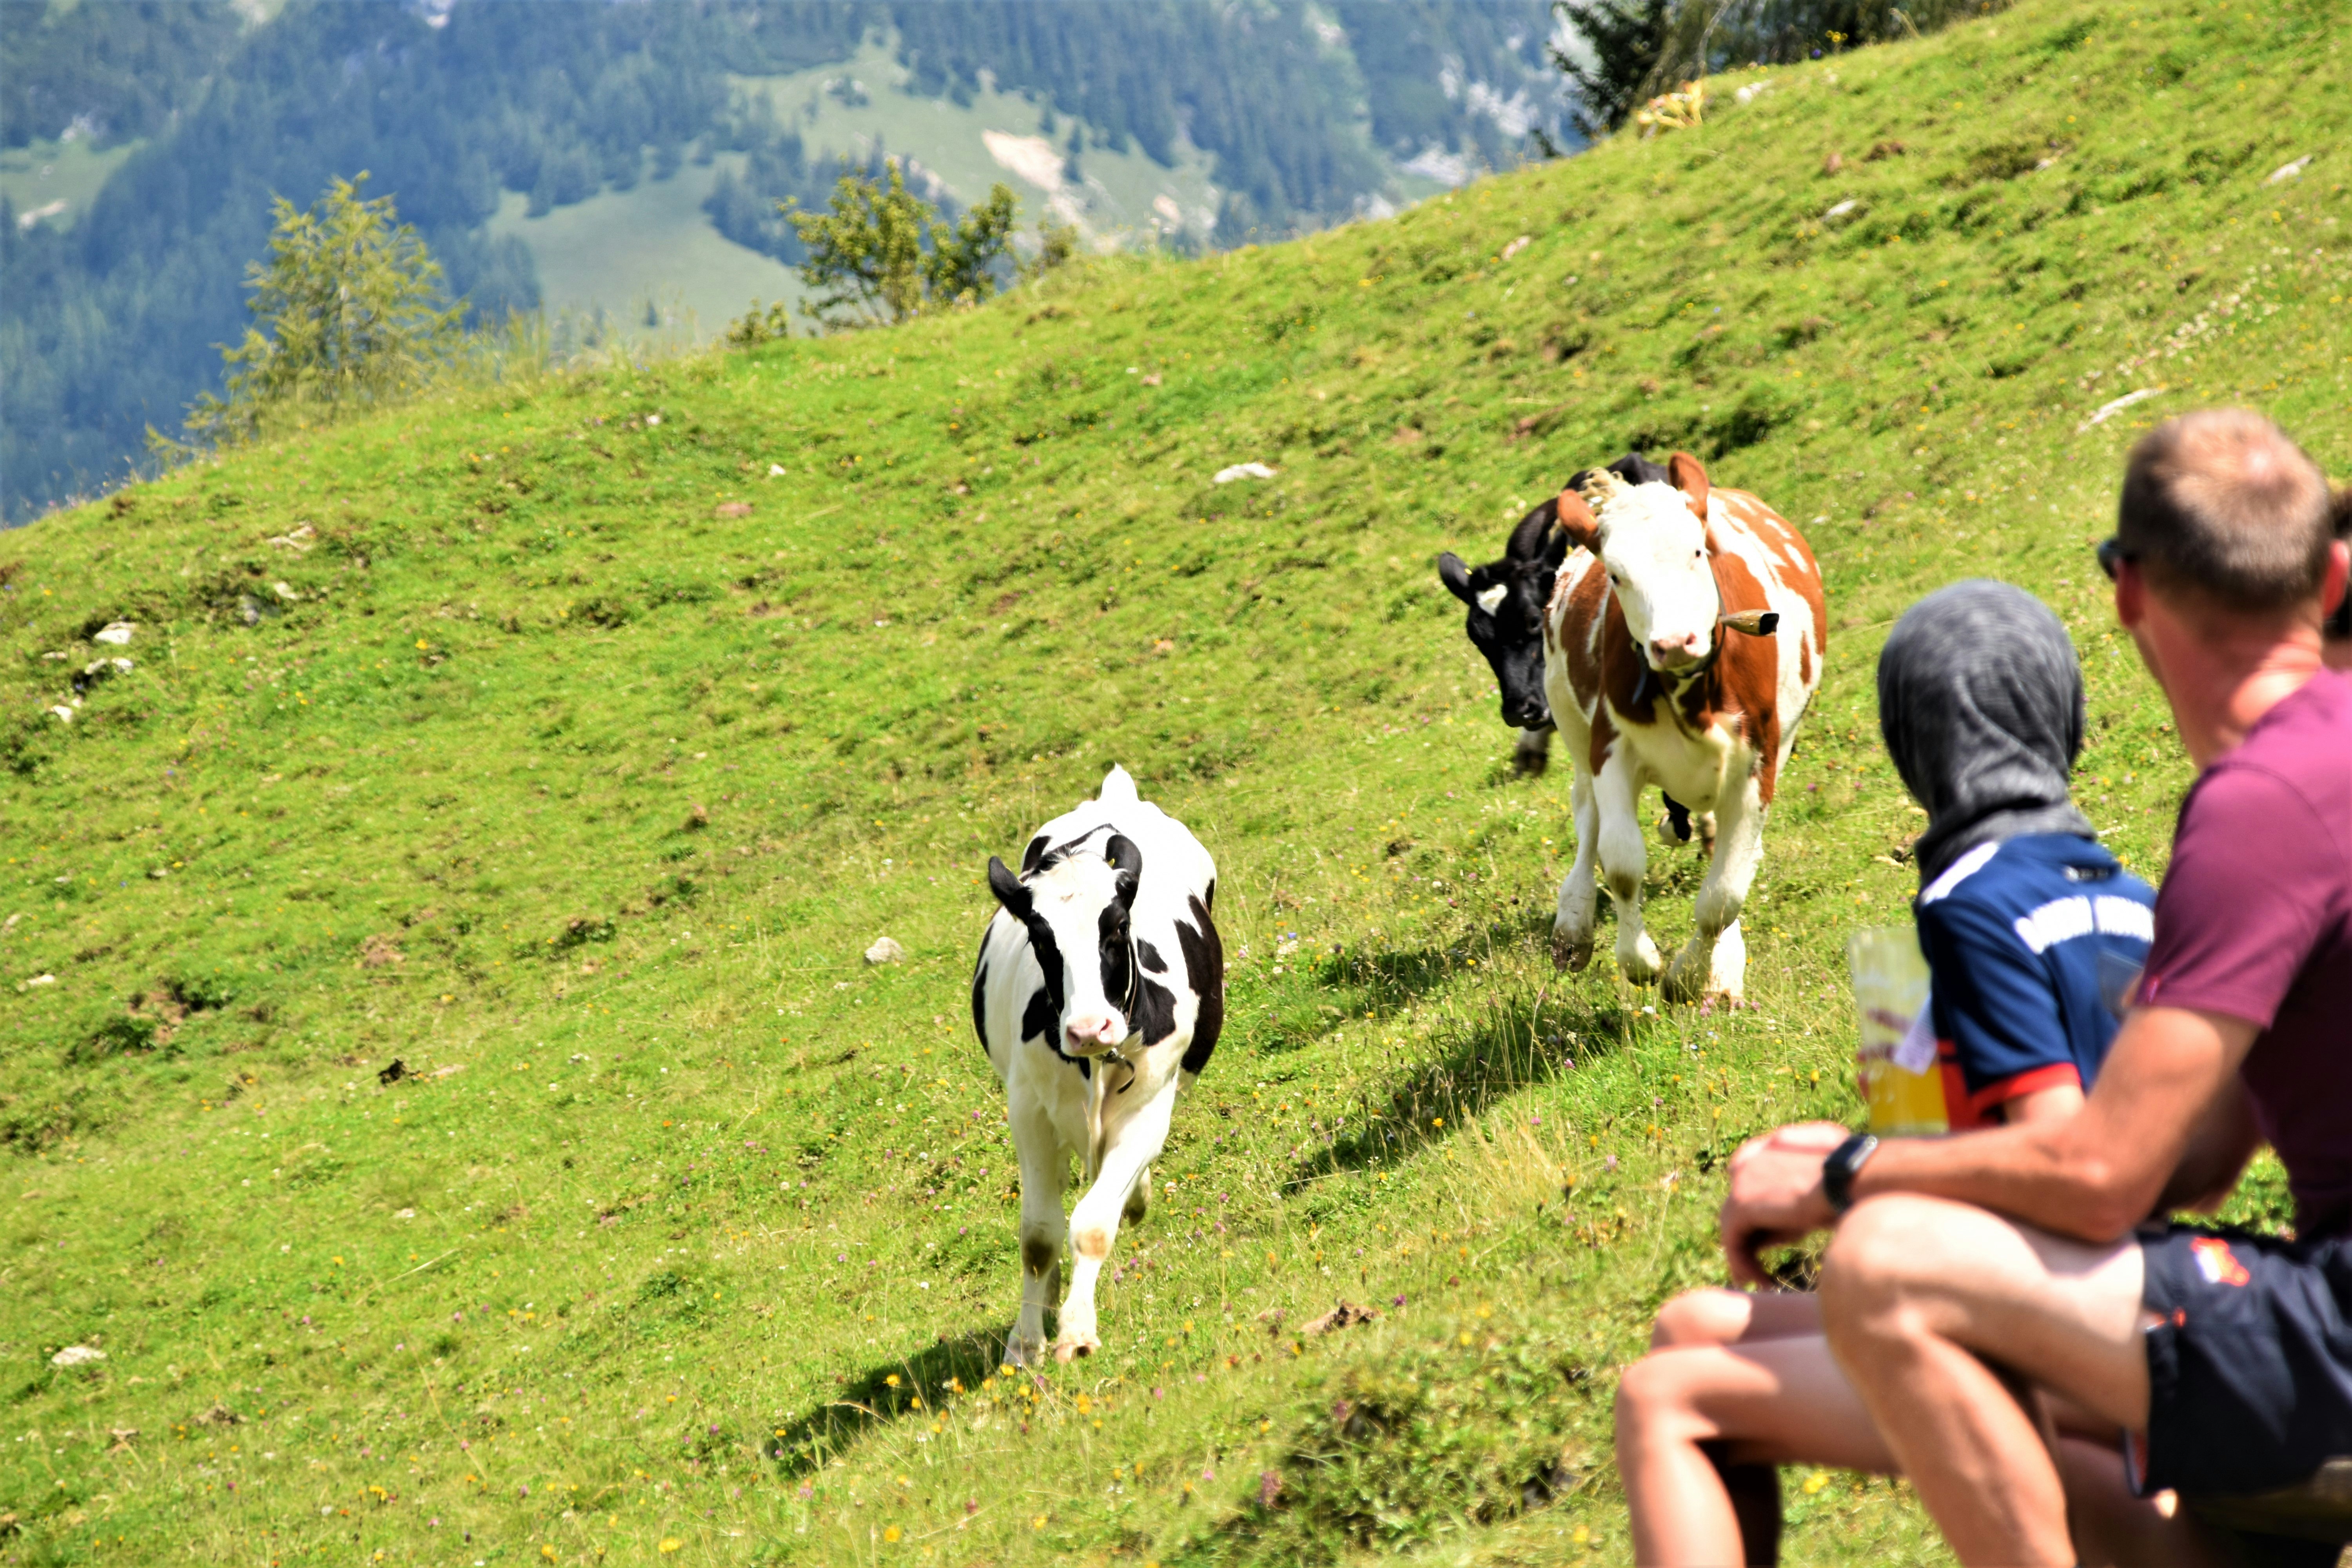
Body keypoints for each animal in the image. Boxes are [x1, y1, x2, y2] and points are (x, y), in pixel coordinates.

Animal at [964, 766, 1223, 1363]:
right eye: (1040, 939)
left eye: (1118, 927)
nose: (1088, 1029)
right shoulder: (1029, 1110)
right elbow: (1040, 1236)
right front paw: (1025, 1343)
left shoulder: (1150, 1106)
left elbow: (1094, 1224)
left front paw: (1077, 1332)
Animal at [1543, 451, 1835, 1006]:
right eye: (1615, 575)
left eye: (1698, 551)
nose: (1676, 641)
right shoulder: (1610, 750)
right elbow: (1621, 862)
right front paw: (1643, 960)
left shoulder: (1758, 762)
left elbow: (1724, 895)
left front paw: (1694, 975)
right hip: (1569, 720)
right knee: (1587, 817)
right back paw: (1573, 924)